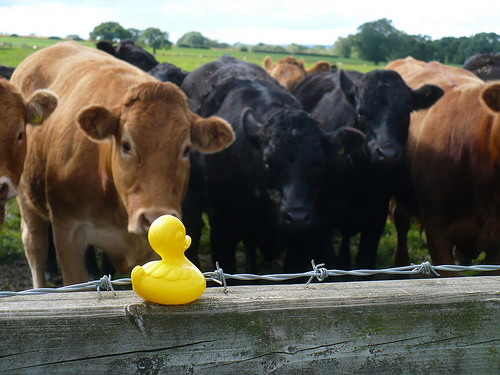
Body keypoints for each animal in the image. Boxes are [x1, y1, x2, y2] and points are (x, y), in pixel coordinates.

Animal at [11, 41, 234, 288]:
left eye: (186, 150)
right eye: (126, 145)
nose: (153, 217)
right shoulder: (68, 234)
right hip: (27, 199)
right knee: (35, 246)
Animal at [292, 68, 444, 270]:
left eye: (406, 113)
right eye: (361, 113)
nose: (387, 153)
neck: (358, 179)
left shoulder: (376, 220)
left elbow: (364, 263)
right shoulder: (322, 221)